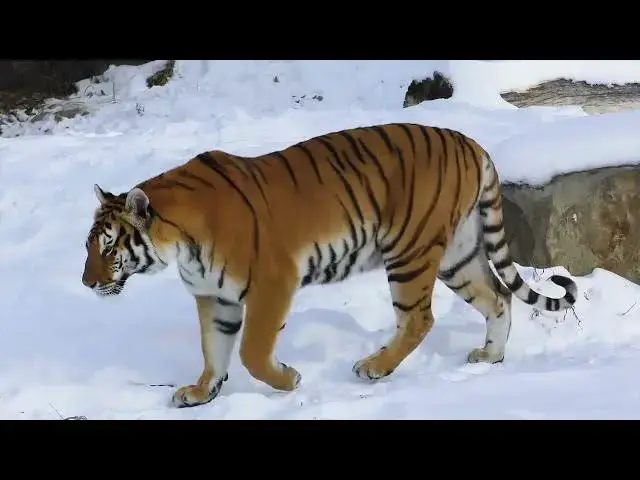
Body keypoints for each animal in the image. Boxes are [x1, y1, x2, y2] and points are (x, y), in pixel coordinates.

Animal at [81, 122, 578, 409]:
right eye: (88, 247)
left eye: (107, 249)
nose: (86, 284)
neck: (179, 246)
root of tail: (471, 143)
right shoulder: (213, 297)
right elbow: (214, 350)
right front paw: (203, 392)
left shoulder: (272, 283)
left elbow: (252, 352)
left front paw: (289, 380)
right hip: (458, 255)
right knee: (498, 296)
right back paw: (489, 356)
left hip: (410, 251)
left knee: (420, 317)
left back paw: (374, 366)